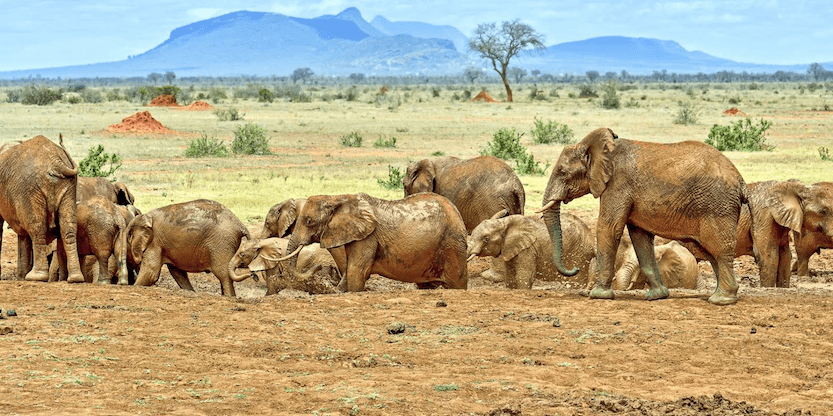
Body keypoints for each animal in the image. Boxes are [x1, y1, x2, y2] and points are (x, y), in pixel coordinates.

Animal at [0, 136, 83, 282]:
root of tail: (54, 161)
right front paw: (21, 277)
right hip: (70, 186)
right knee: (68, 227)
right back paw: (75, 278)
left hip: (30, 188)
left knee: (37, 228)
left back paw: (36, 276)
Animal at [280, 193, 468, 290]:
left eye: (309, 221)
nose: (321, 267)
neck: (337, 198)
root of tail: (457, 213)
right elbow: (350, 270)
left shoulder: (367, 237)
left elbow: (356, 271)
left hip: (452, 243)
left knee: (457, 282)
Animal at [464, 213, 596, 288]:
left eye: (486, 239)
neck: (504, 222)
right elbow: (510, 277)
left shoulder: (528, 250)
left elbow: (525, 276)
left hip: (579, 254)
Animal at [540, 127, 748, 306]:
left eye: (562, 172)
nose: (574, 269)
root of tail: (741, 181)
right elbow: (640, 237)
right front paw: (657, 296)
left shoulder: (618, 184)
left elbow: (609, 228)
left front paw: (598, 296)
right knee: (711, 253)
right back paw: (719, 296)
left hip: (717, 206)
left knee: (720, 250)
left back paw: (722, 300)